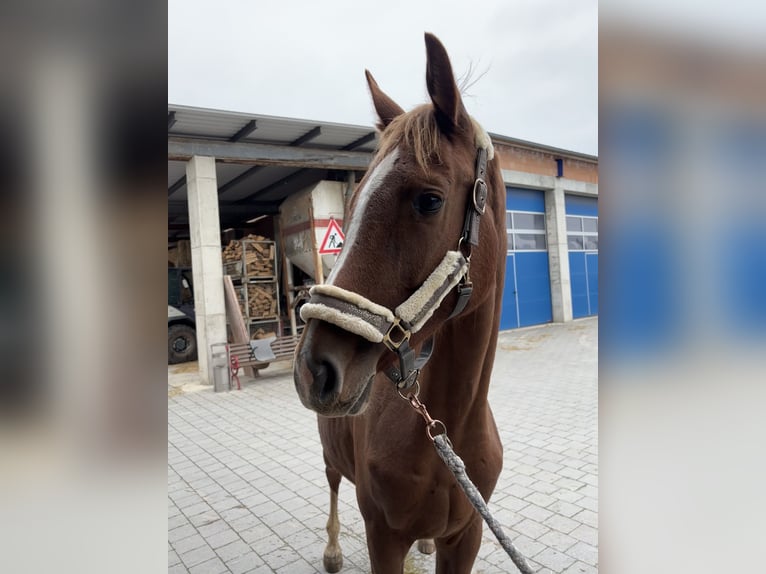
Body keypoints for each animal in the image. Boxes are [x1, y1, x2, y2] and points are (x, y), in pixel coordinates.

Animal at [296, 33, 510, 572]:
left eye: (428, 200)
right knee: (331, 482)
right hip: (331, 456)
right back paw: (332, 551)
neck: (447, 430)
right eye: (351, 206)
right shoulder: (382, 537)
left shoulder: (468, 536)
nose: (313, 368)